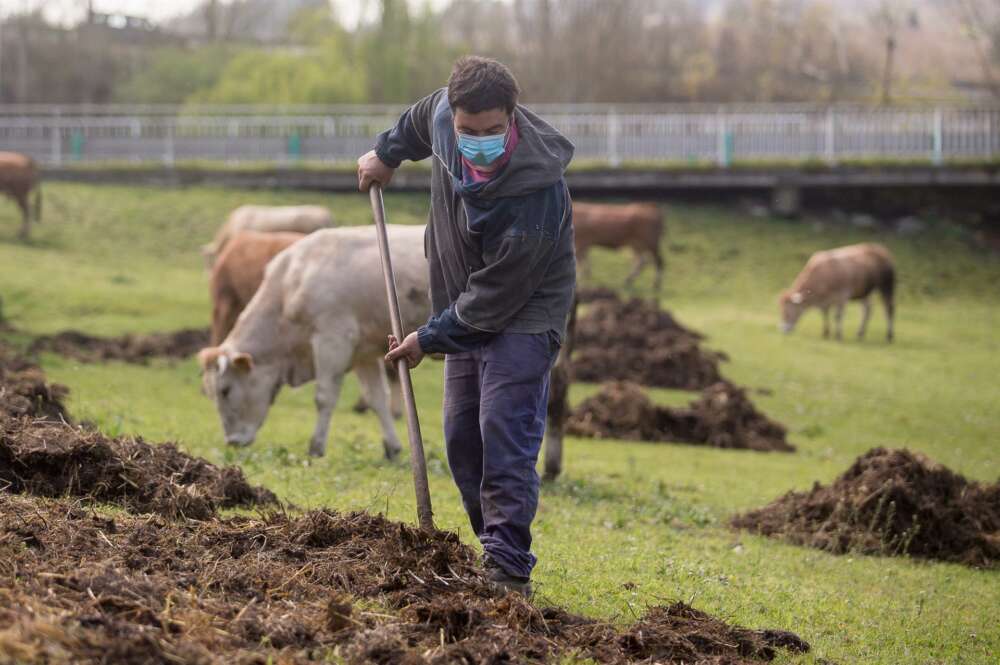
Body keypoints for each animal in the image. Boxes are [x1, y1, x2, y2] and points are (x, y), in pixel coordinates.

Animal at [197, 223, 428, 456]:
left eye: (225, 390)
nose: (232, 441)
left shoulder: (333, 340)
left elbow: (324, 397)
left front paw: (316, 447)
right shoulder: (364, 352)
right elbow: (377, 398)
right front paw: (392, 448)